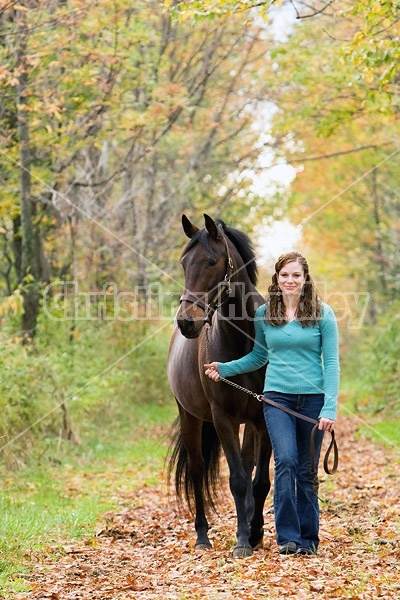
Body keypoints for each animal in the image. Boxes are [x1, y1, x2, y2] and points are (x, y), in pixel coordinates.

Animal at [166, 212, 272, 556]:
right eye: (184, 263)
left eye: (211, 262)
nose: (186, 321)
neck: (243, 341)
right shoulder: (223, 418)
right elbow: (237, 480)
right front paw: (242, 540)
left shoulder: (263, 417)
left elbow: (259, 480)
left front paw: (255, 531)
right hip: (190, 417)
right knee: (197, 469)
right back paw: (202, 535)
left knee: (249, 467)